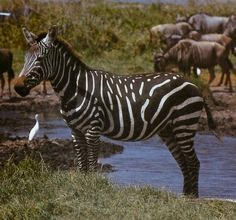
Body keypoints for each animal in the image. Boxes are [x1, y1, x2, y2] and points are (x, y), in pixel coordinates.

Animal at [14, 26, 218, 198]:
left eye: (40, 59)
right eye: (24, 58)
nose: (17, 87)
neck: (75, 89)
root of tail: (193, 84)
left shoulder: (93, 130)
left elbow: (92, 164)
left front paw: (92, 189)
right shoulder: (75, 131)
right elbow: (81, 165)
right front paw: (82, 188)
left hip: (184, 124)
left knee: (193, 162)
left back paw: (192, 198)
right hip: (168, 129)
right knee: (183, 162)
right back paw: (185, 196)